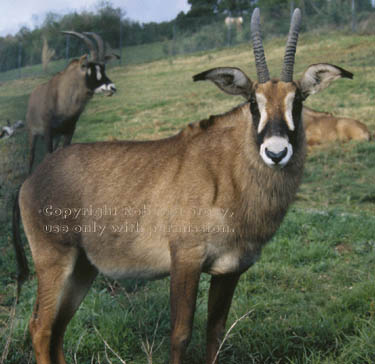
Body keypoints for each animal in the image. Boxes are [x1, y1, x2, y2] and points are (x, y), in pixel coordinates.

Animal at [25, 30, 117, 173]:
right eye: (88, 68)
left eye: (103, 68)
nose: (112, 88)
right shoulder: (48, 131)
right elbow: (47, 154)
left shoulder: (69, 132)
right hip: (32, 133)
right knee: (31, 157)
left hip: (56, 136)